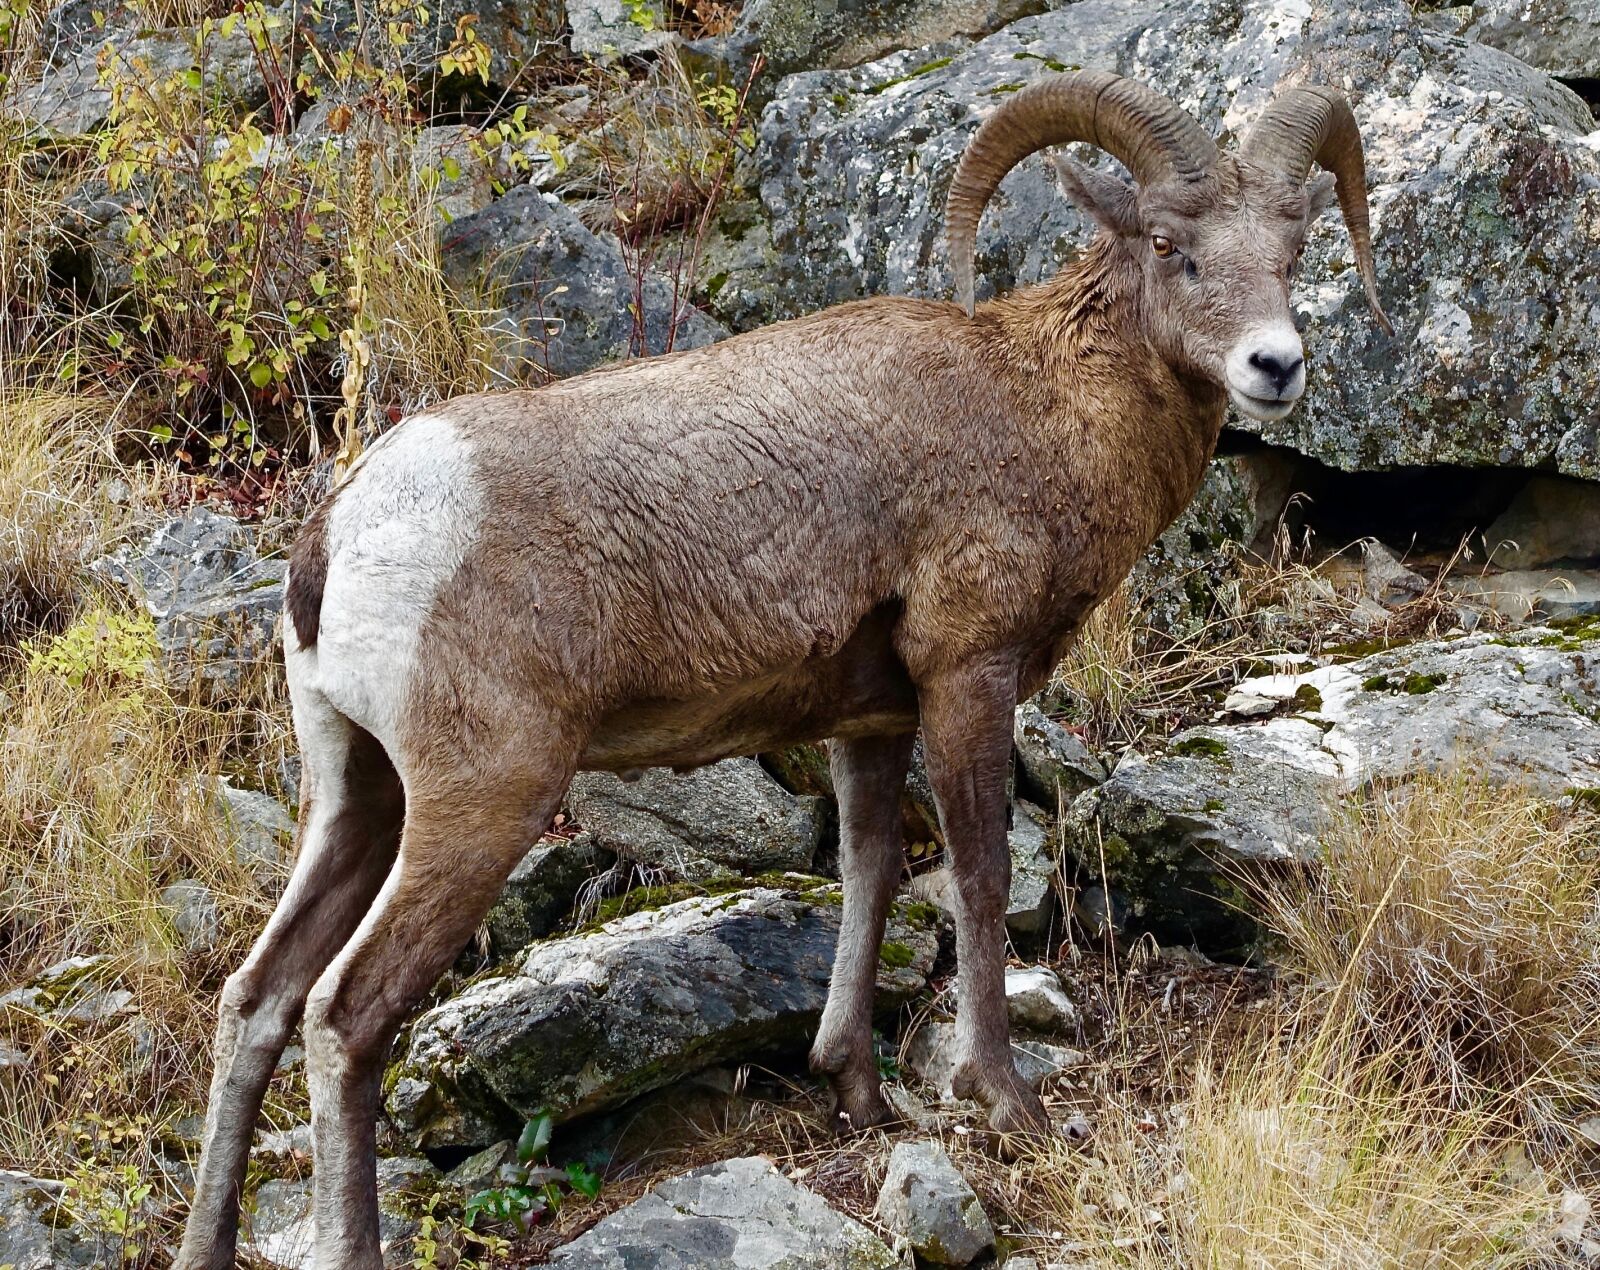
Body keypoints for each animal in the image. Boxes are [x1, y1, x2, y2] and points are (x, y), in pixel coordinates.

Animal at [176, 71, 1390, 1270]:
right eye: (1171, 245)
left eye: (1292, 249)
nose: (1274, 366)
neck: (1043, 404)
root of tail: (343, 534)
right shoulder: (969, 675)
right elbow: (979, 877)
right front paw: (1005, 1102)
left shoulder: (870, 722)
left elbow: (869, 873)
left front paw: (855, 1089)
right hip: (480, 804)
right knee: (345, 1016)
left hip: (358, 793)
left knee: (259, 999)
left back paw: (205, 1243)